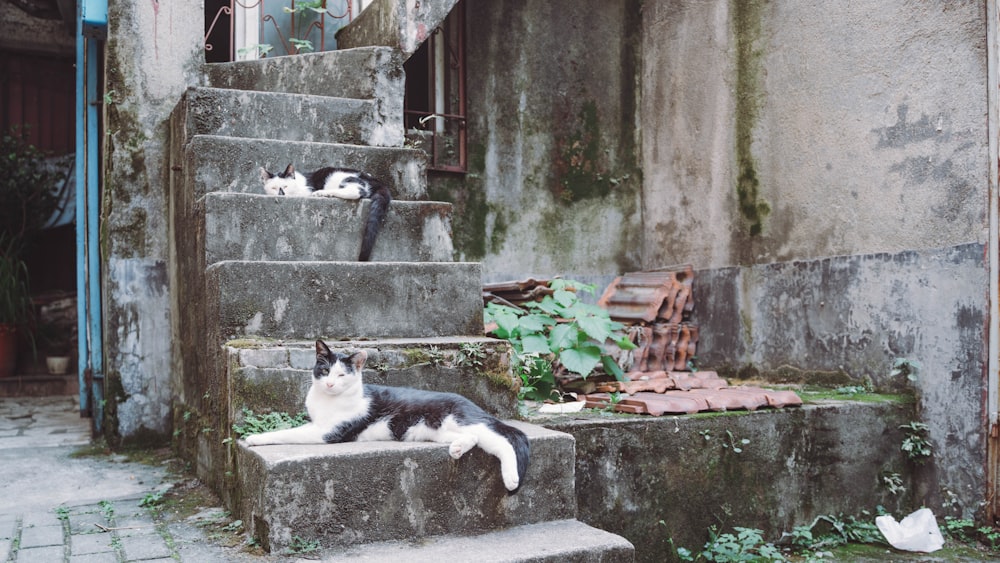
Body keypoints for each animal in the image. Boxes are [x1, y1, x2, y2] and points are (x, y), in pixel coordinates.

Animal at [244, 340, 532, 494]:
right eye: (324, 370)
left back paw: (511, 478)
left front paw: (255, 437)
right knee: (473, 438)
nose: (329, 384)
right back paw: (458, 448)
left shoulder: (327, 431)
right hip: (437, 430)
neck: (327, 401)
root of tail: (473, 404)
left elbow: (287, 432)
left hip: (463, 420)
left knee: (502, 441)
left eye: (342, 375)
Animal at [258, 162, 390, 262]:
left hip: (343, 177)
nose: (281, 194)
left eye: (285, 186)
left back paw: (322, 192)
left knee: (357, 191)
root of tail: (379, 182)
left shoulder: (306, 190)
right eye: (274, 188)